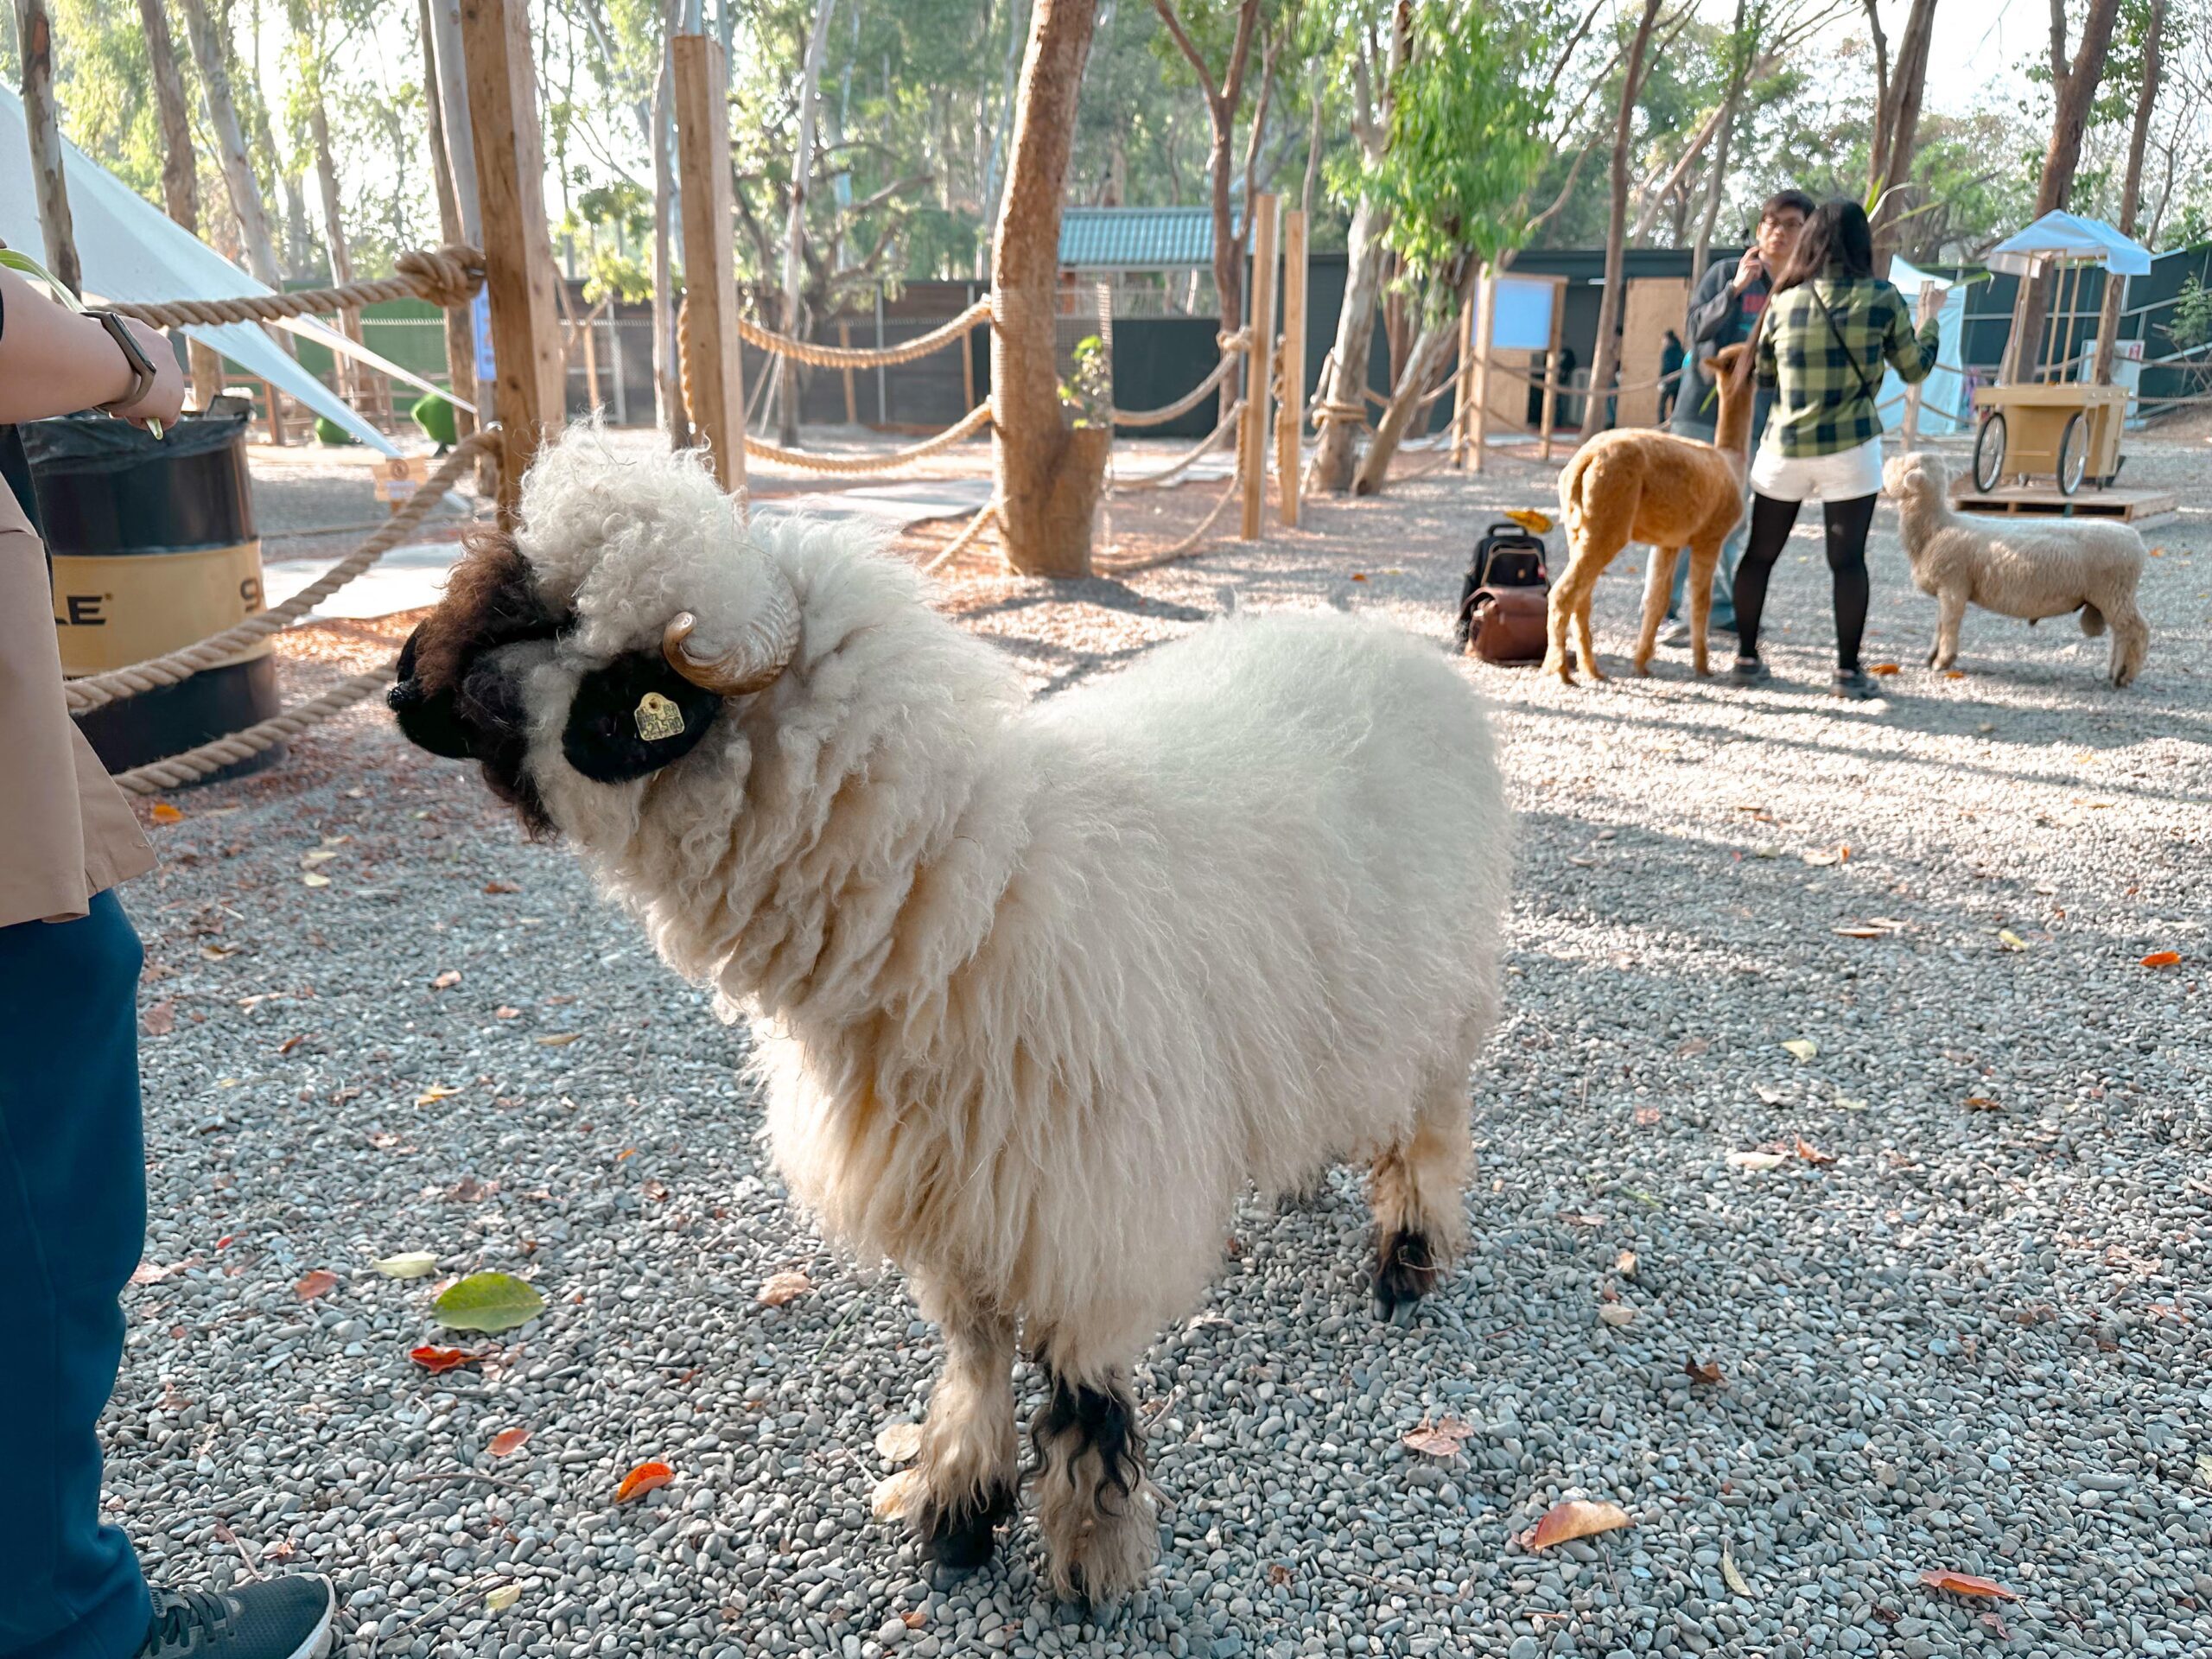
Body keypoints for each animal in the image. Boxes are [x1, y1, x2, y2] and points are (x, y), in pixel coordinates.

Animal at [389, 435, 1513, 1601]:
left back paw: (1407, 1262)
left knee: (1431, 1128)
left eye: (583, 645)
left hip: (1443, 994)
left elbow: (1080, 1383)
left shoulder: (1080, 1196)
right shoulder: (952, 1185)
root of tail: (1387, 641)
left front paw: (1089, 1555)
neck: (959, 868)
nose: (399, 683)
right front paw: (961, 1506)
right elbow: (975, 1355)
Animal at [1885, 451, 2141, 685]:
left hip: (2114, 592)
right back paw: (2114, 671)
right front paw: (1932, 657)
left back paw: (2125, 675)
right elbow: (1939, 622)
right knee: (2121, 633)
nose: (1888, 460)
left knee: (2135, 629)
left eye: (1904, 464)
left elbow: (1949, 621)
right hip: (2115, 595)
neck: (1937, 527)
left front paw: (1943, 661)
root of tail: (2135, 539)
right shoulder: (1946, 589)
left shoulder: (1953, 584)